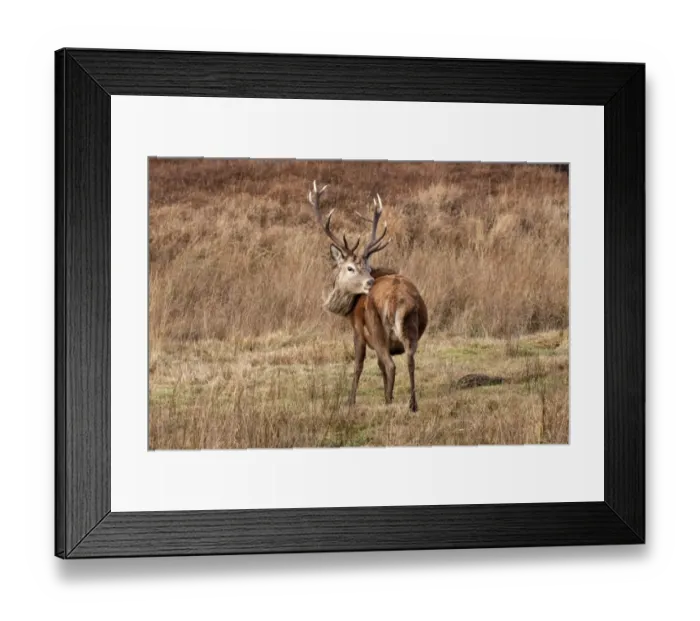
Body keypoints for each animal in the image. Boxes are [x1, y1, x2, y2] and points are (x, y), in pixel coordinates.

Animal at [307, 181, 428, 412]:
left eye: (365, 267)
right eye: (351, 268)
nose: (370, 282)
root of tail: (398, 300)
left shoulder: (358, 330)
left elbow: (359, 364)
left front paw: (350, 400)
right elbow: (379, 366)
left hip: (376, 326)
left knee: (391, 365)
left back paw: (388, 402)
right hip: (411, 327)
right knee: (410, 360)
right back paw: (412, 404)